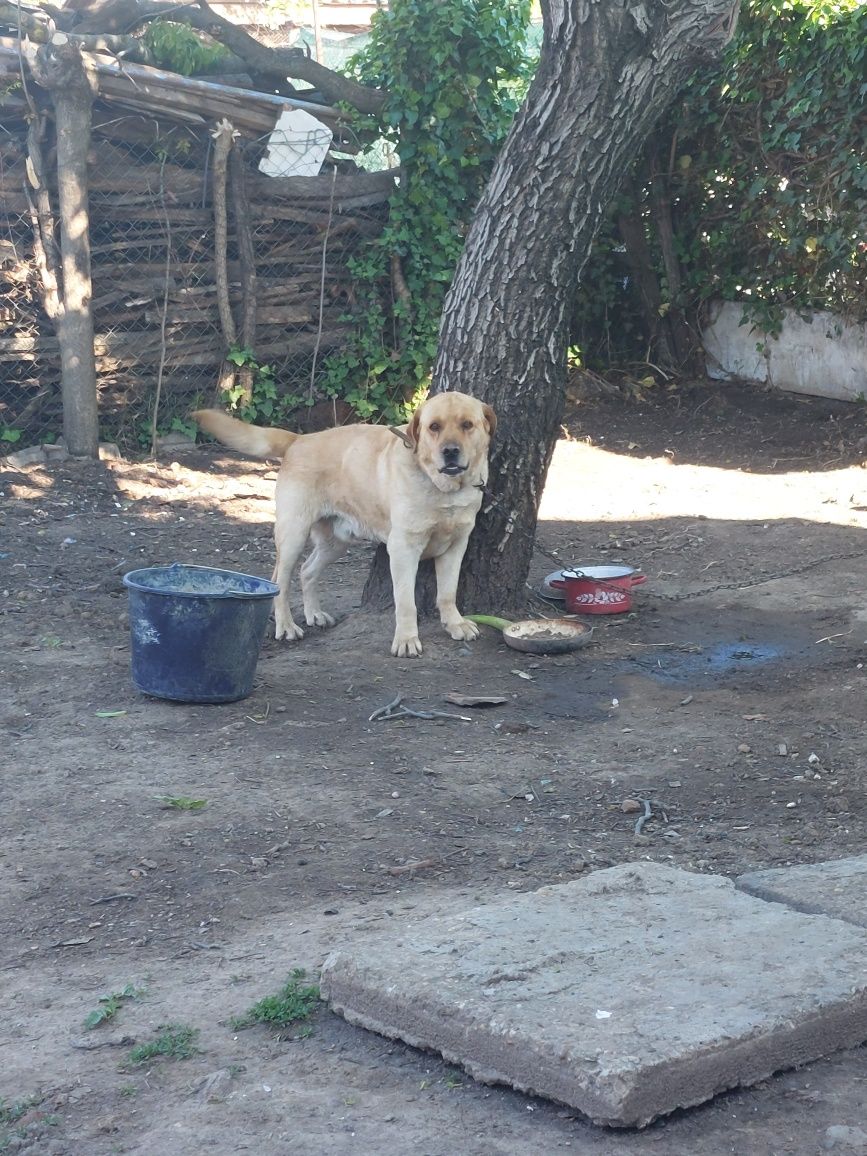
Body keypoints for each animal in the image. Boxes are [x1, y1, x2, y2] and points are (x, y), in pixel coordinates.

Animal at [194, 390, 499, 656]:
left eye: (467, 425)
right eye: (434, 426)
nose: (450, 451)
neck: (445, 489)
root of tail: (298, 439)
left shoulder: (456, 545)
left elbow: (448, 592)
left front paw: (455, 624)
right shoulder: (403, 549)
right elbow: (405, 602)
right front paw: (406, 640)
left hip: (336, 542)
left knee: (307, 571)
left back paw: (314, 614)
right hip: (294, 534)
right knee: (280, 579)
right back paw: (286, 625)